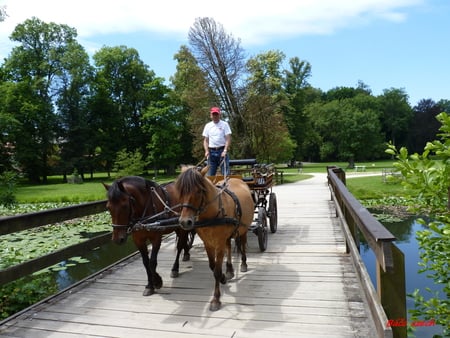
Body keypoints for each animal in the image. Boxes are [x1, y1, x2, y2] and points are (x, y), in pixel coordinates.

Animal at [175, 166, 255, 312]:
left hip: (243, 229)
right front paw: (223, 277)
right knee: (229, 246)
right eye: (180, 191)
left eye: (198, 191)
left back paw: (243, 264)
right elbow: (212, 266)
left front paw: (216, 299)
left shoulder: (219, 243)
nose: (184, 222)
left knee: (242, 244)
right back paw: (229, 270)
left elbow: (217, 270)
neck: (211, 215)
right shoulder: (208, 243)